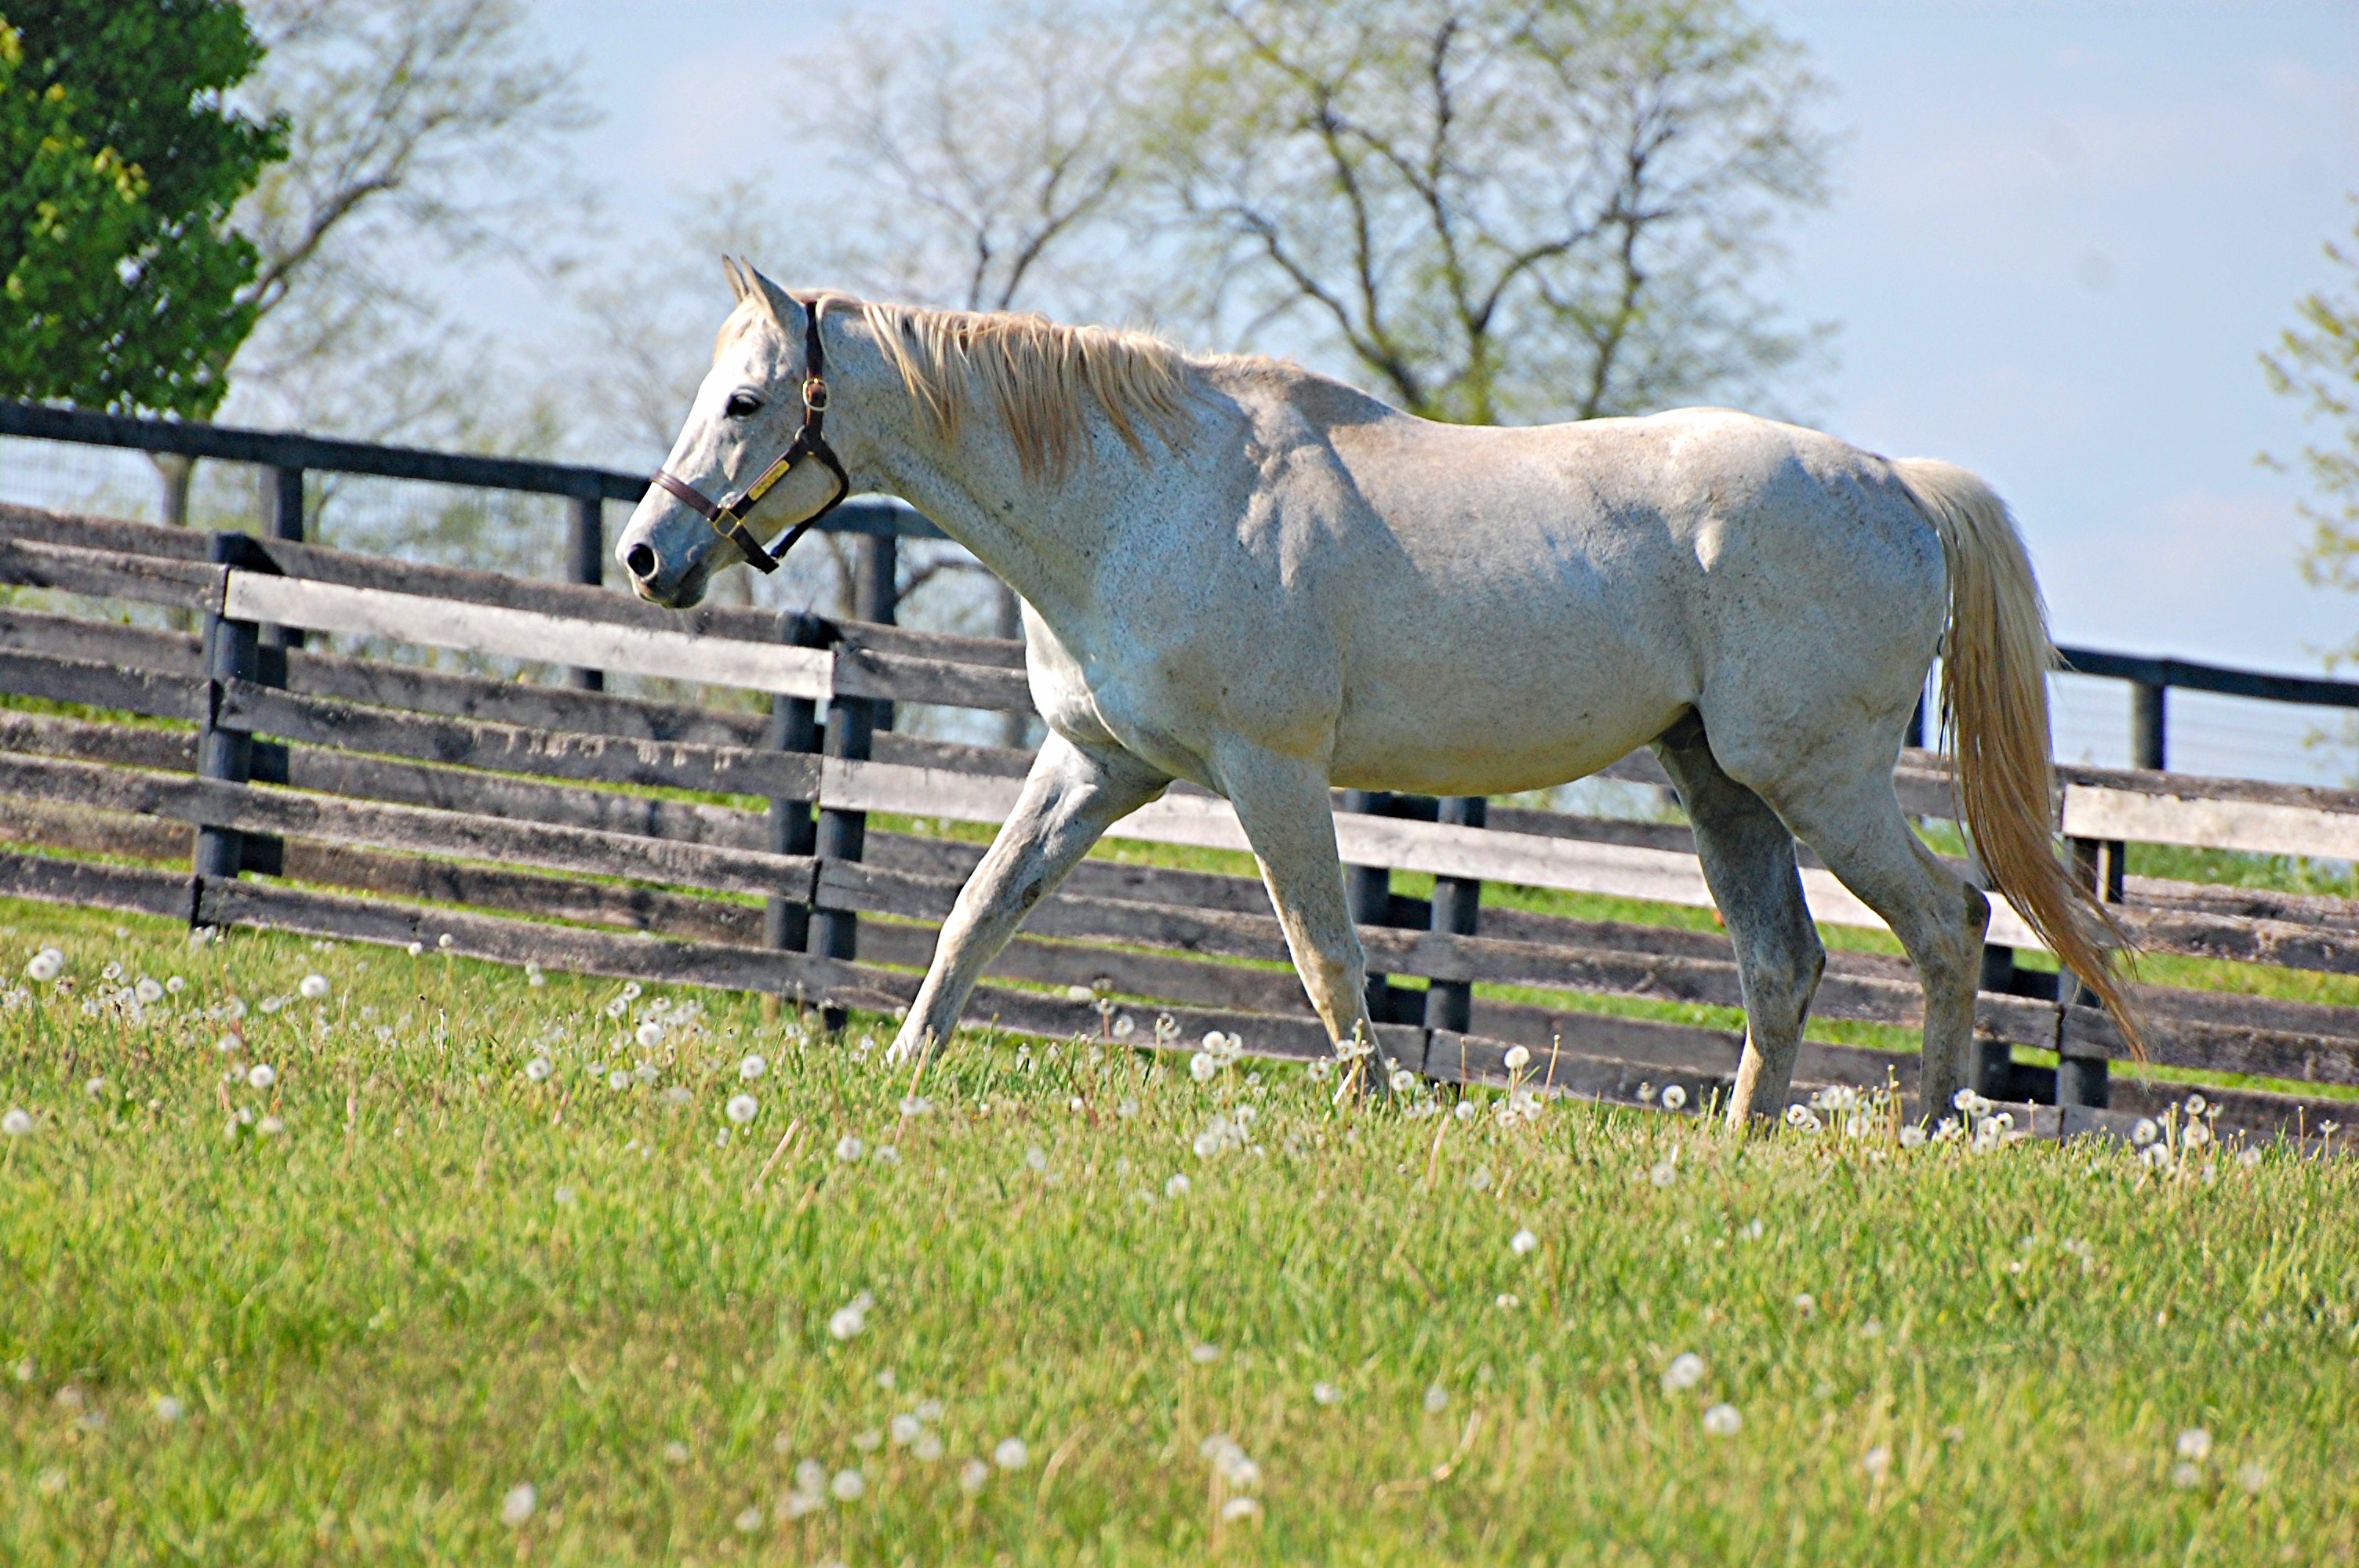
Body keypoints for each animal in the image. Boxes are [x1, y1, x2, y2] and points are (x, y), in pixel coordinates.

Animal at [618, 263, 2132, 1117]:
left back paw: (1922, 1136)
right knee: (1784, 962)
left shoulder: (1268, 772)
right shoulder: (1091, 767)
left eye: (745, 403)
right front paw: (900, 1077)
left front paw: (1374, 1108)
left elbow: (1325, 952)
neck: (1142, 499)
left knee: (1946, 923)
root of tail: (1903, 491)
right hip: (1719, 784)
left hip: (1818, 778)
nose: (647, 556)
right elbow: (974, 916)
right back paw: (1734, 1147)